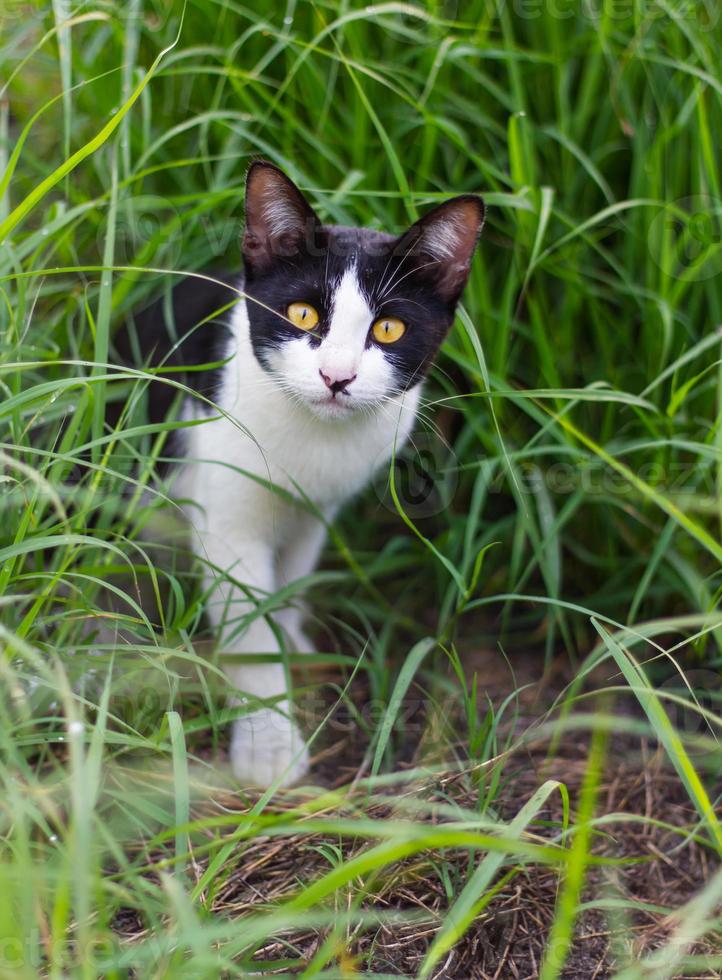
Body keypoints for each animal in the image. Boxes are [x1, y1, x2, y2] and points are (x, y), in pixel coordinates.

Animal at [127, 163, 484, 788]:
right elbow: (249, 627)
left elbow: (290, 577)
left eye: (388, 330)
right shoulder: (227, 519)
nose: (336, 377)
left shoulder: (318, 509)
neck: (314, 440)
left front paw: (290, 634)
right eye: (302, 315)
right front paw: (268, 745)